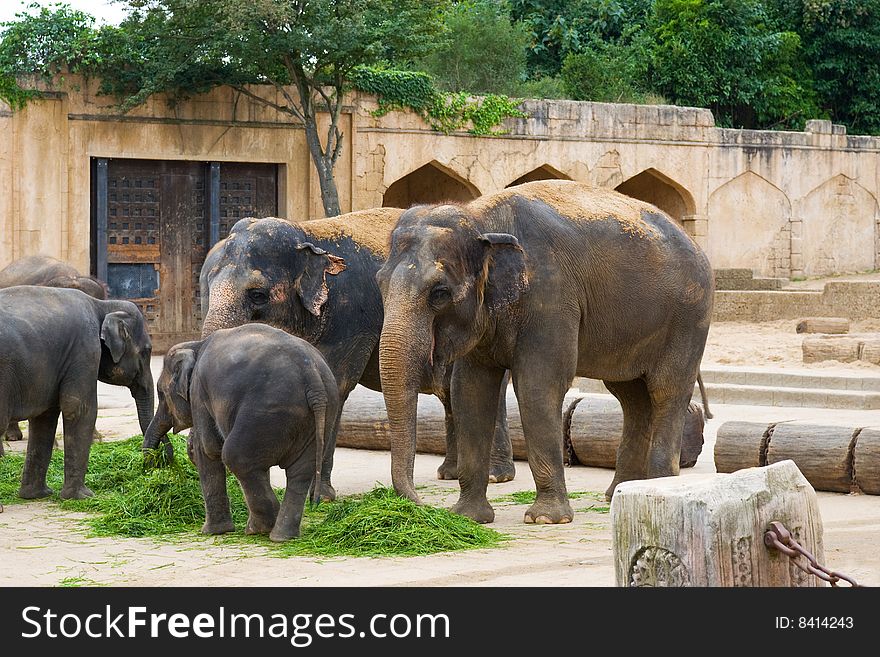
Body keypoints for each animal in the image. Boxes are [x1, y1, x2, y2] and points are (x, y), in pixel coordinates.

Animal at [143, 322, 338, 544]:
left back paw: (259, 529)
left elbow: (209, 449)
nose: (152, 465)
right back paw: (281, 537)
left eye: (160, 392)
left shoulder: (199, 393)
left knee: (235, 456)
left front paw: (212, 532)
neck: (195, 345)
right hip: (317, 416)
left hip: (266, 408)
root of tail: (311, 374)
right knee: (299, 472)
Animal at [198, 210, 516, 498]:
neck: (306, 232)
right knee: (450, 394)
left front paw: (321, 497)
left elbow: (334, 387)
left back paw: (496, 476)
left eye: (257, 295)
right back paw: (449, 473)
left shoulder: (352, 319)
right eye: (206, 289)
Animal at [378, 178, 716, 524]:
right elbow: (470, 390)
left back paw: (658, 488)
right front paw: (468, 517)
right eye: (379, 283)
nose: (419, 505)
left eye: (440, 293)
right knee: (631, 398)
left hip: (689, 317)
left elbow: (537, 386)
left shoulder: (552, 296)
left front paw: (545, 519)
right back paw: (618, 495)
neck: (481, 219)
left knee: (666, 391)